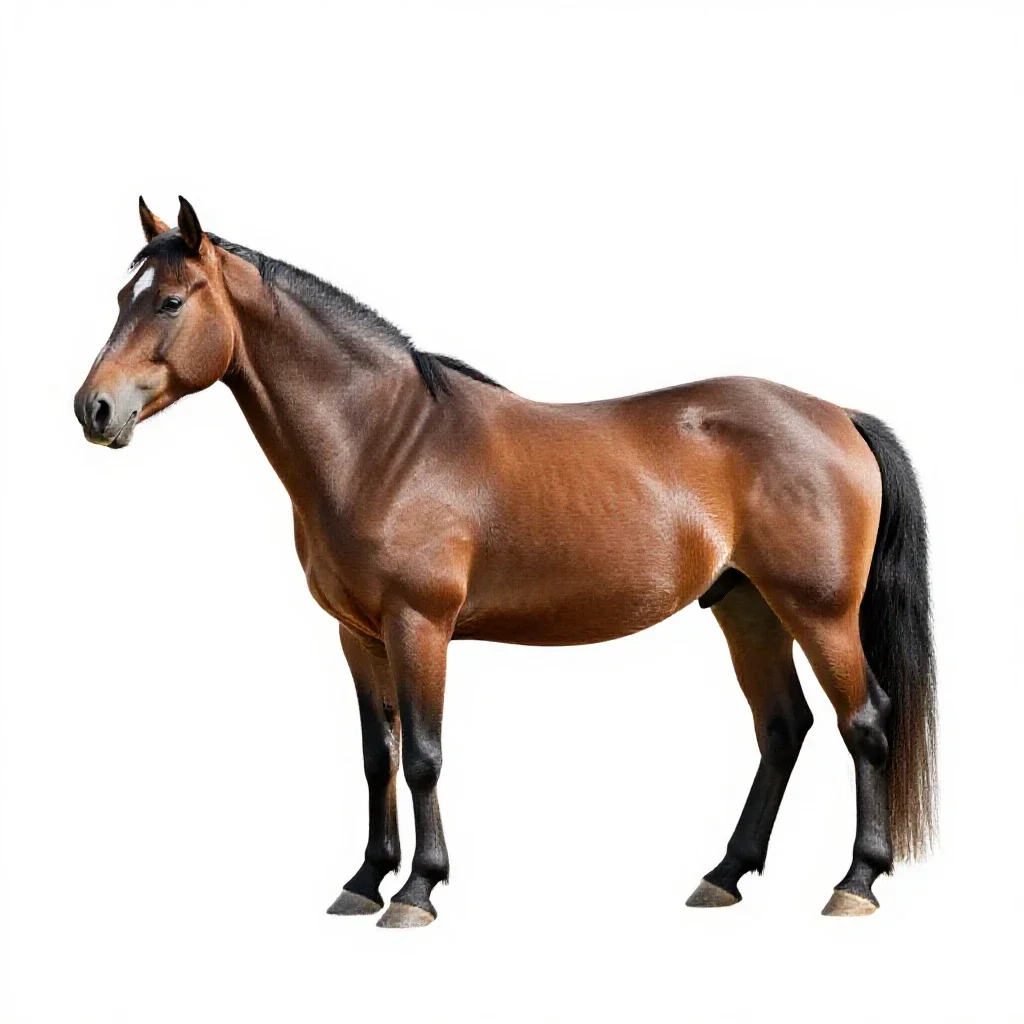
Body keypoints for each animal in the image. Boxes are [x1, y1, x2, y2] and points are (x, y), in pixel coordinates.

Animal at [74, 197, 937, 927]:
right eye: (121, 296)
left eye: (170, 301)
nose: (94, 408)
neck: (383, 442)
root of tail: (838, 416)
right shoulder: (358, 635)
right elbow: (376, 757)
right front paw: (363, 880)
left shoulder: (418, 625)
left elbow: (423, 757)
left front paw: (417, 890)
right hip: (746, 606)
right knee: (783, 728)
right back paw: (723, 875)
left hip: (819, 611)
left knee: (863, 722)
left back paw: (856, 882)